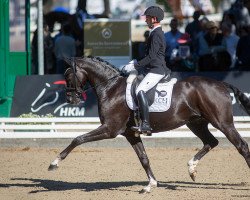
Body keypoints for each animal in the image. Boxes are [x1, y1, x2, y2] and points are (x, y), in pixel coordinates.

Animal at [48, 56, 250, 194]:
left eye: (68, 75)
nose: (71, 99)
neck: (111, 88)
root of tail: (220, 84)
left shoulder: (110, 129)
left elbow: (77, 139)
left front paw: (54, 163)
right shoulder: (131, 134)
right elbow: (144, 158)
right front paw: (150, 185)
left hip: (223, 122)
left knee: (242, 146)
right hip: (196, 123)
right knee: (211, 142)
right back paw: (191, 168)